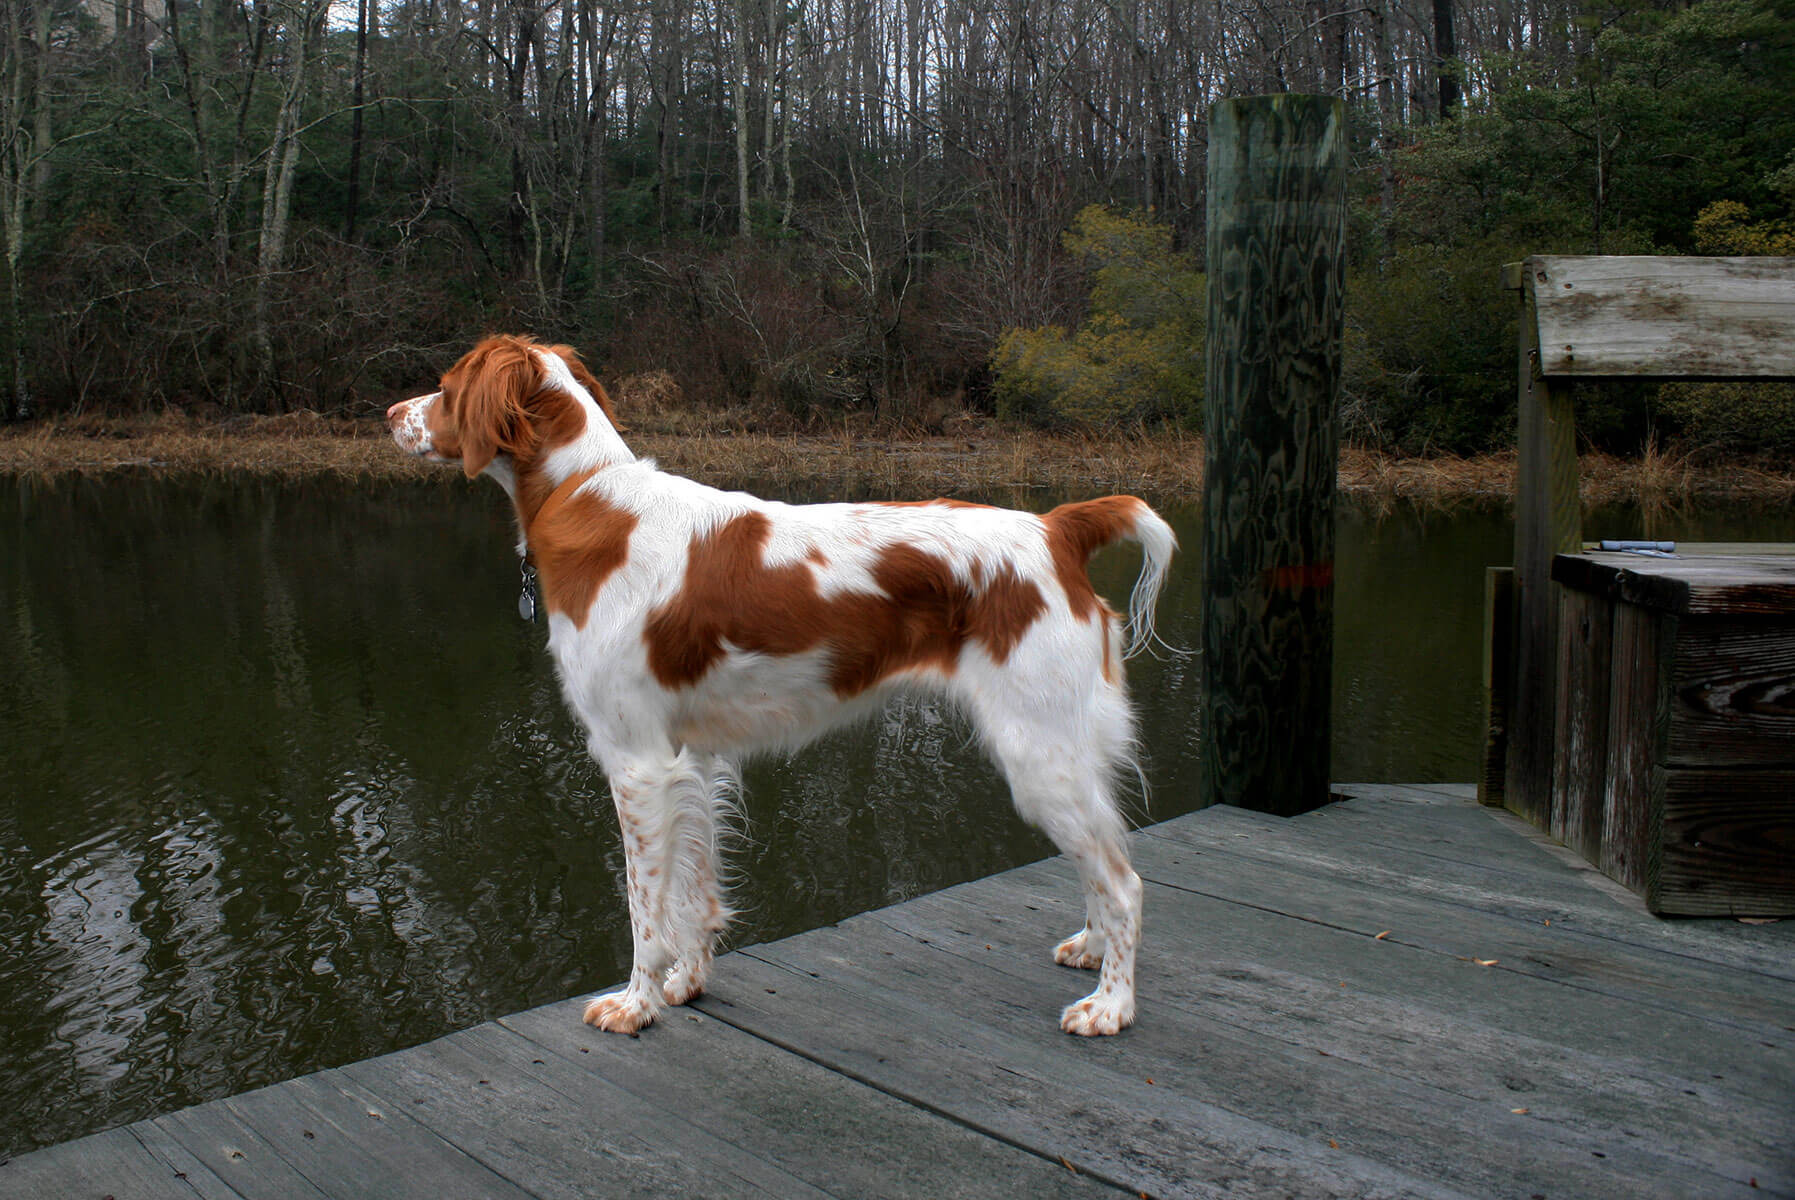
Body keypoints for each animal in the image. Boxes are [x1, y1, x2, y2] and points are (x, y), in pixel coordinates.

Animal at [389, 331, 1177, 1033]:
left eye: (447, 386)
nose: (391, 412)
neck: (585, 496)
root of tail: (1058, 528)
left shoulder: (635, 762)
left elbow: (645, 907)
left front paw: (635, 1003)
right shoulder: (691, 760)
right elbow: (695, 892)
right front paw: (686, 984)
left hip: (1037, 751)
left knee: (1125, 882)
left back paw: (1111, 1007)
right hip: (1065, 750)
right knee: (1104, 859)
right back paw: (1092, 950)